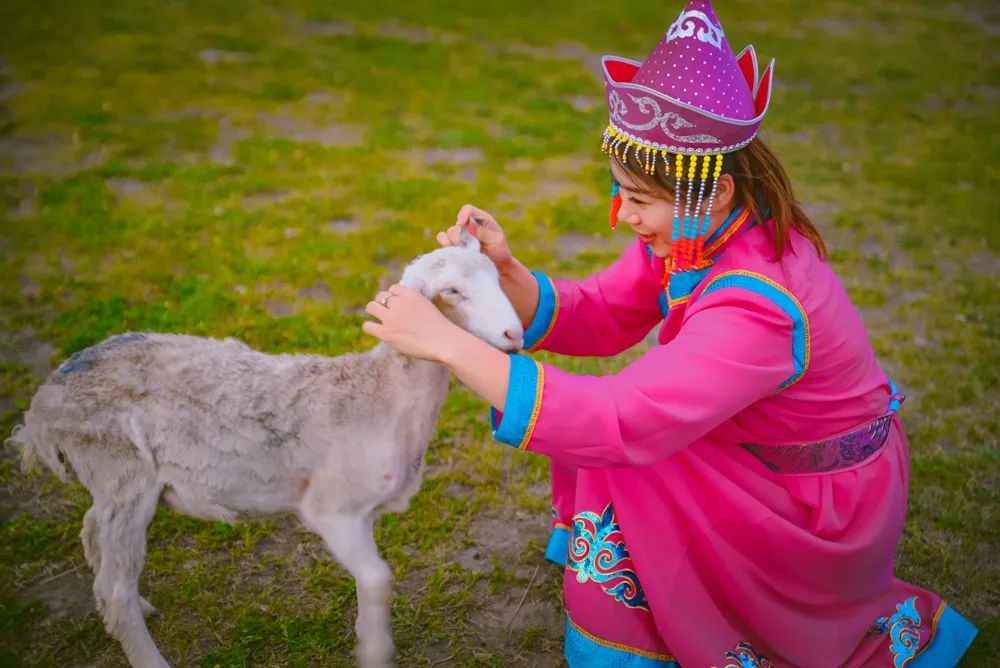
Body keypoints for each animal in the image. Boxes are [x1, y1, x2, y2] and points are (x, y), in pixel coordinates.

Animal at [7, 231, 524, 668]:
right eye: (452, 292)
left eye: (496, 275)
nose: (515, 335)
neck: (381, 396)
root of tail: (43, 406)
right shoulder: (330, 508)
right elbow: (379, 579)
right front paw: (375, 653)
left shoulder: (363, 514)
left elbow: (369, 580)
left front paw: (366, 636)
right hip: (122, 472)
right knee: (114, 588)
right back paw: (146, 650)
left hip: (111, 484)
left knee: (92, 532)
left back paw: (140, 604)